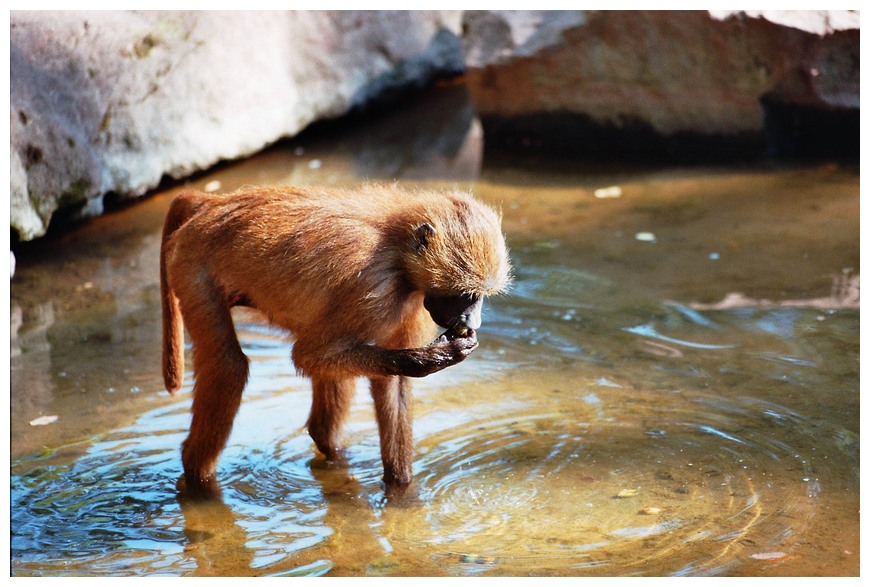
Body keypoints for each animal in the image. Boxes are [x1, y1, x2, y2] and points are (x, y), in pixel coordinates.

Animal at [162, 184, 510, 496]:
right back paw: (199, 486)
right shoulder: (373, 290)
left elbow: (392, 386)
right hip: (193, 265)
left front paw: (401, 494)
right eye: (466, 295)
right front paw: (428, 359)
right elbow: (308, 355)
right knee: (229, 366)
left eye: (478, 296)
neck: (396, 248)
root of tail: (214, 205)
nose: (473, 323)